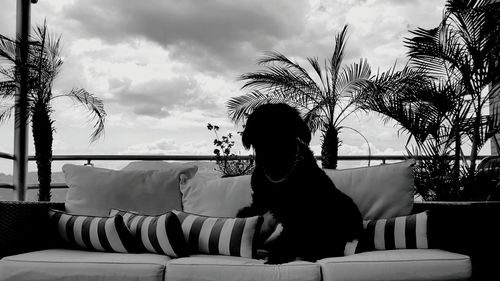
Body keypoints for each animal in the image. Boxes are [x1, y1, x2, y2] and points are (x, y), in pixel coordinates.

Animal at [236, 102, 362, 262]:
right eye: (261, 125)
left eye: (287, 125)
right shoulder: (261, 196)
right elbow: (256, 207)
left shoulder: (298, 212)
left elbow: (290, 236)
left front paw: (278, 255)